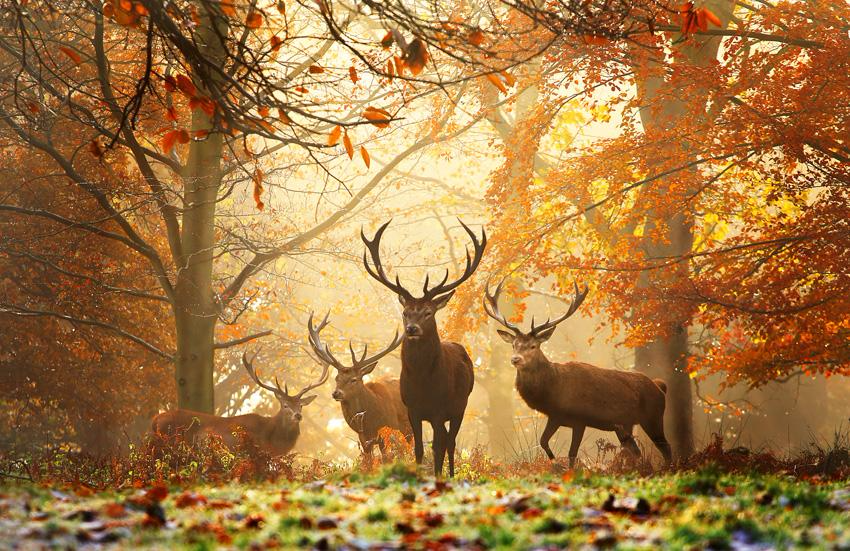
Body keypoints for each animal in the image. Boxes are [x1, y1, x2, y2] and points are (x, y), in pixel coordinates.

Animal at [306, 312, 413, 464]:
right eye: (336, 378)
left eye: (354, 379)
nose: (336, 393)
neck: (370, 422)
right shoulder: (363, 439)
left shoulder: (387, 430)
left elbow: (387, 459)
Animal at [361, 219, 485, 477]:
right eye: (405, 312)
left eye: (428, 312)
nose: (412, 329)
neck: (423, 383)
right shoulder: (412, 409)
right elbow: (418, 448)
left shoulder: (439, 409)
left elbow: (437, 447)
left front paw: (438, 477)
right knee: (446, 440)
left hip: (460, 406)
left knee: (450, 442)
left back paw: (451, 475)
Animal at [484, 281, 672, 468]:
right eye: (514, 345)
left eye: (533, 346)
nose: (515, 359)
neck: (554, 391)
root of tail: (660, 387)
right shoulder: (556, 416)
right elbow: (543, 441)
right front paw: (555, 463)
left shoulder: (580, 419)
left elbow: (572, 453)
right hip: (625, 425)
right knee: (636, 451)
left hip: (653, 416)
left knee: (666, 448)